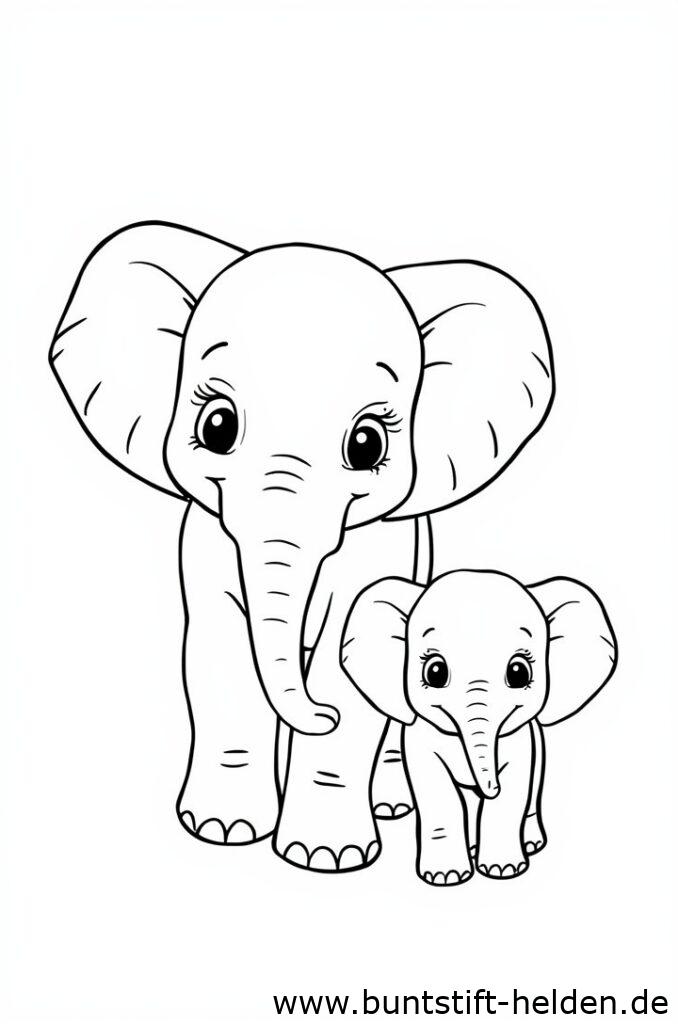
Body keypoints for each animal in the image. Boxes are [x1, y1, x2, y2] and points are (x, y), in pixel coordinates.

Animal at [49, 220, 553, 872]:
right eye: (217, 426)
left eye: (366, 444)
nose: (318, 713)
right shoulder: (208, 533)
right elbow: (222, 652)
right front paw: (221, 829)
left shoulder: (377, 546)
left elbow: (345, 663)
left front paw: (326, 856)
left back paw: (392, 807)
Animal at [341, 570, 617, 884]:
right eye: (435, 672)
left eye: (519, 673)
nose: (491, 787)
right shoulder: (421, 737)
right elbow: (437, 791)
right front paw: (445, 876)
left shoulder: (520, 739)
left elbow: (515, 786)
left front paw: (503, 870)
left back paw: (529, 843)